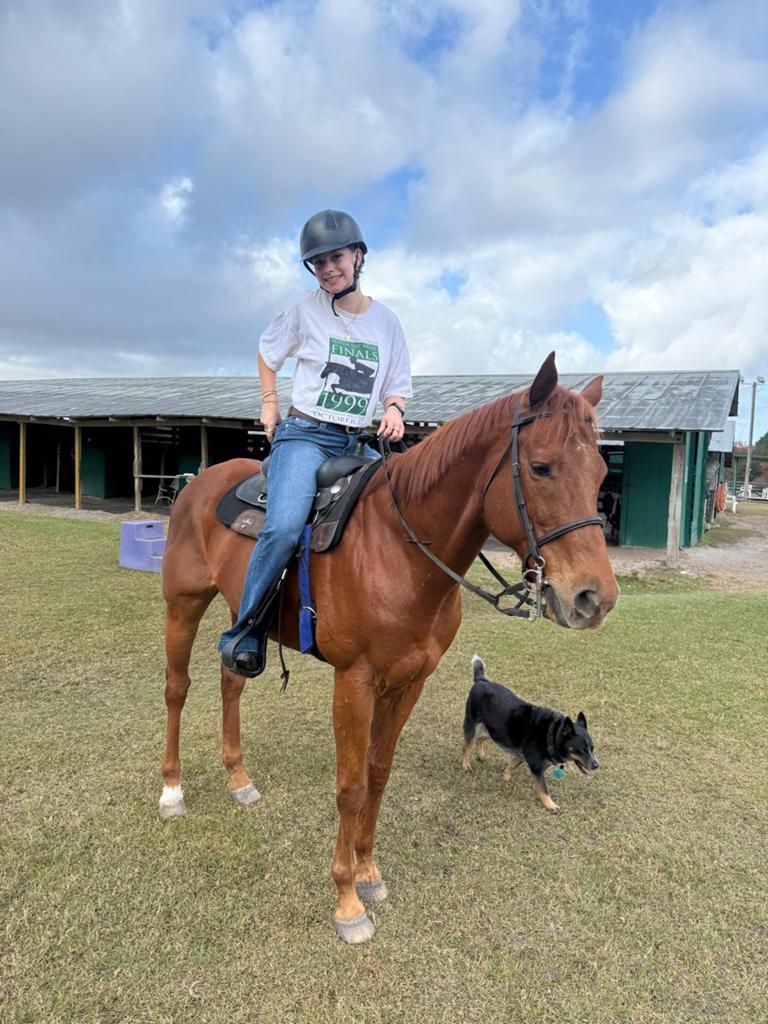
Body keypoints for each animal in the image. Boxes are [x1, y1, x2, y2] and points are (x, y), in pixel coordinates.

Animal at [159, 353, 619, 943]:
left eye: (602, 475)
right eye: (541, 468)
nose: (594, 598)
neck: (400, 551)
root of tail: (200, 482)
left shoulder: (408, 682)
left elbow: (378, 774)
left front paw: (369, 872)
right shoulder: (353, 681)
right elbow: (351, 786)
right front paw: (347, 902)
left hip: (242, 622)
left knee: (231, 679)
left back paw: (239, 780)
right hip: (183, 603)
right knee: (177, 688)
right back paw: (171, 791)